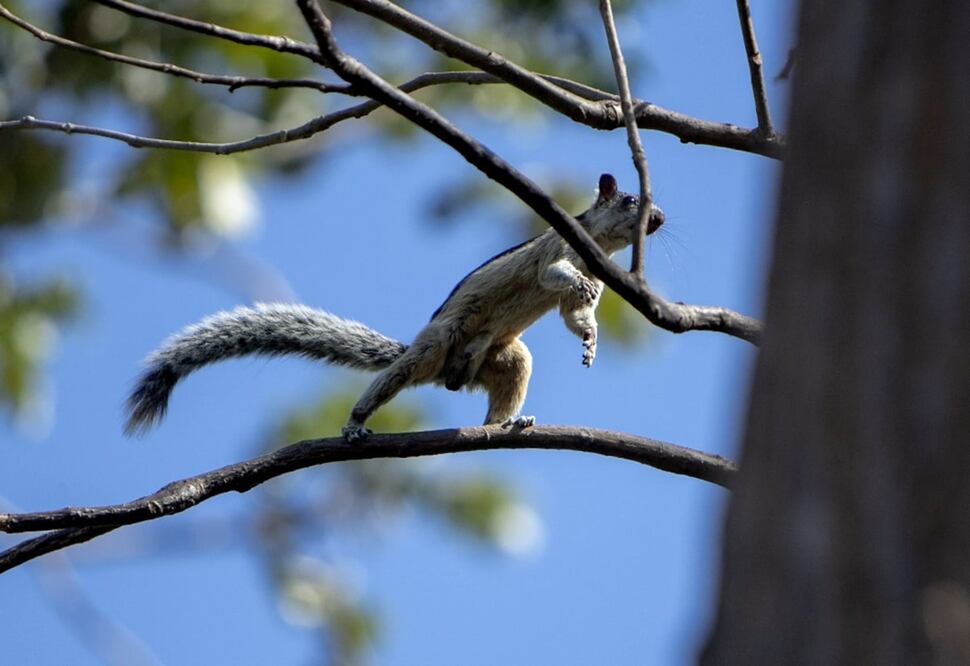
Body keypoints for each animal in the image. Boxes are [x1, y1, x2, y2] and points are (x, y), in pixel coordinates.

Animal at [125, 173, 664, 441]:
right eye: (629, 200)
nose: (658, 218)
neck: (595, 248)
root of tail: (452, 374)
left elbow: (574, 316)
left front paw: (590, 338)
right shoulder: (554, 250)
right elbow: (553, 276)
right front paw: (580, 290)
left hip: (503, 360)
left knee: (495, 402)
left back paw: (508, 423)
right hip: (434, 347)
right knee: (392, 379)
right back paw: (354, 424)